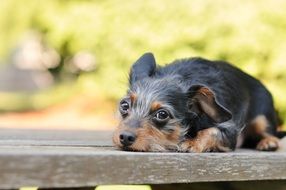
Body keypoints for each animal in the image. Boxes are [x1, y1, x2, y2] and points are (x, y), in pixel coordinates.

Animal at [113, 52, 280, 152]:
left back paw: (268, 142)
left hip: (262, 117)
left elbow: (211, 131)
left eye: (162, 114)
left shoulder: (231, 131)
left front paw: (192, 143)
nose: (125, 137)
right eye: (124, 105)